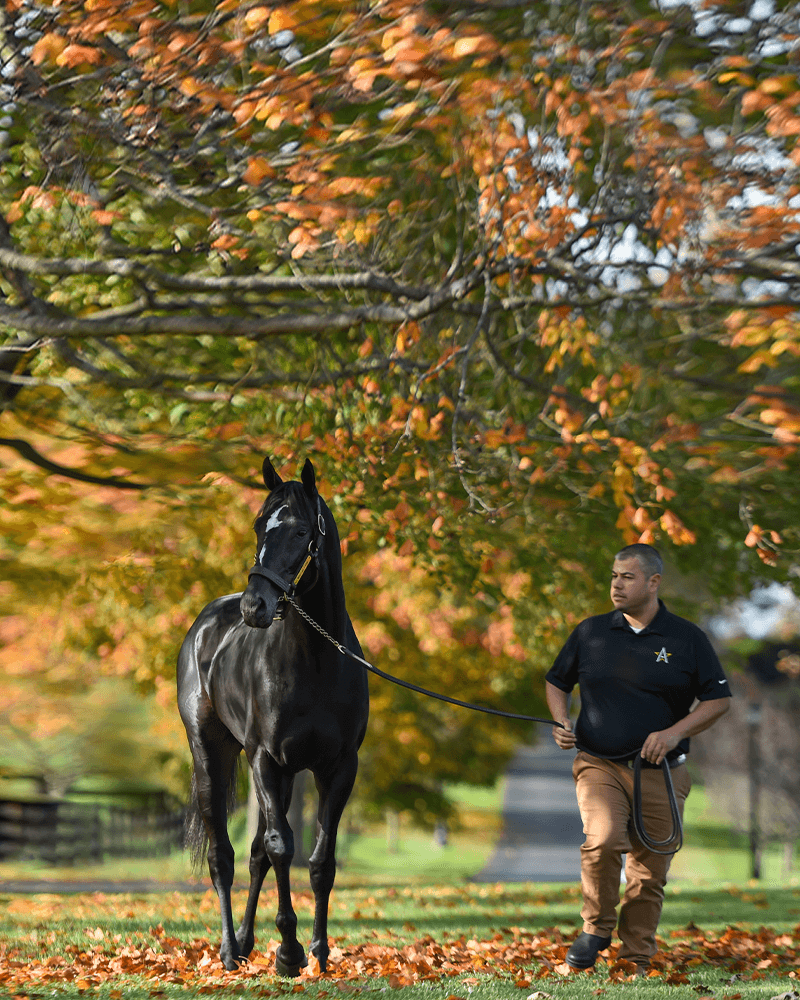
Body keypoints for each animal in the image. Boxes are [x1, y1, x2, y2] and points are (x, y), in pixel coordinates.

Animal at [178, 460, 368, 976]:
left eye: (301, 530)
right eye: (259, 526)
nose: (254, 607)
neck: (317, 662)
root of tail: (206, 623)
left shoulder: (338, 768)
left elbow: (320, 860)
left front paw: (320, 952)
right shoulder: (264, 758)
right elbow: (283, 846)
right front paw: (288, 951)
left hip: (281, 777)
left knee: (255, 854)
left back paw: (245, 943)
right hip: (214, 756)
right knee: (223, 856)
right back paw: (229, 950)